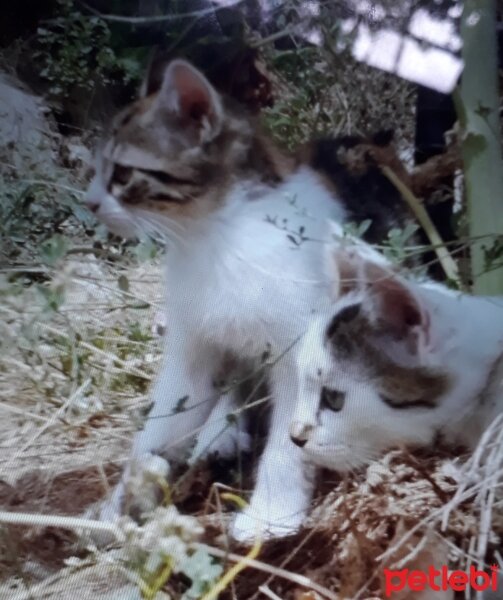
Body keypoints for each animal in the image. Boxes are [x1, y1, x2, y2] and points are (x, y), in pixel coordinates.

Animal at [86, 61, 416, 544]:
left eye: (123, 173)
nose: (89, 202)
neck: (214, 237)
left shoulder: (302, 352)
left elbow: (290, 440)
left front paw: (271, 515)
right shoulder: (191, 348)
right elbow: (157, 425)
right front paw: (117, 504)